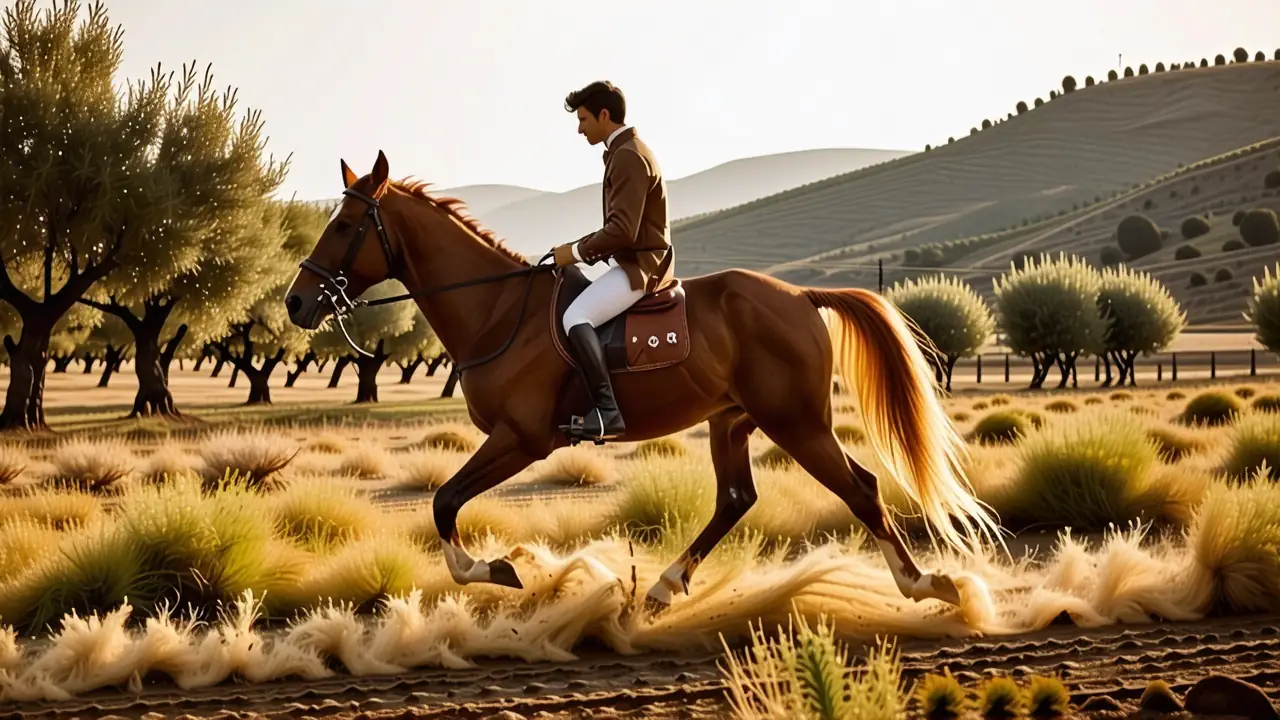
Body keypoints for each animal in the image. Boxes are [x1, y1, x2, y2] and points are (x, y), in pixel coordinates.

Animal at [284, 150, 1003, 614]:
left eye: (343, 227)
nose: (295, 303)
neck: (496, 309)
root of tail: (799, 295)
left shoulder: (521, 439)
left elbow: (443, 502)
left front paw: (500, 570)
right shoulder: (515, 441)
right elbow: (445, 503)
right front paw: (508, 570)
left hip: (796, 422)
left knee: (860, 488)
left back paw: (926, 586)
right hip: (732, 421)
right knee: (736, 499)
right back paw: (661, 589)